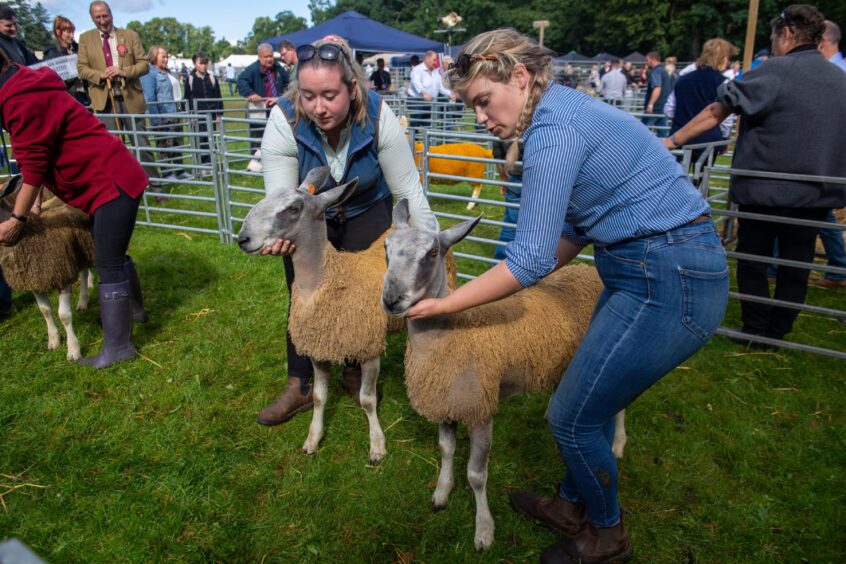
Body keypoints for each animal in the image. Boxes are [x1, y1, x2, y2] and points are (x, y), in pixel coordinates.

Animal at [0, 176, 95, 362]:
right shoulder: (34, 280)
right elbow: (45, 311)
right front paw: (54, 341)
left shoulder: (62, 275)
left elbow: (64, 315)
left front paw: (73, 350)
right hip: (78, 251)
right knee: (83, 271)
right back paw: (82, 301)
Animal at [235, 166, 400, 462]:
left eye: (293, 208)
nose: (243, 239)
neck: (326, 280)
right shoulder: (318, 350)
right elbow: (319, 397)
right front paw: (313, 439)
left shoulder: (369, 349)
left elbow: (368, 401)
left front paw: (377, 445)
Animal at [380, 199, 628, 552]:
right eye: (386, 247)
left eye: (432, 252)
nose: (391, 300)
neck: (452, 334)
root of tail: (587, 271)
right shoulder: (449, 400)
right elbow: (446, 449)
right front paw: (441, 493)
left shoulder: (481, 408)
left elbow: (476, 475)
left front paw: (484, 530)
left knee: (618, 404)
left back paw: (618, 444)